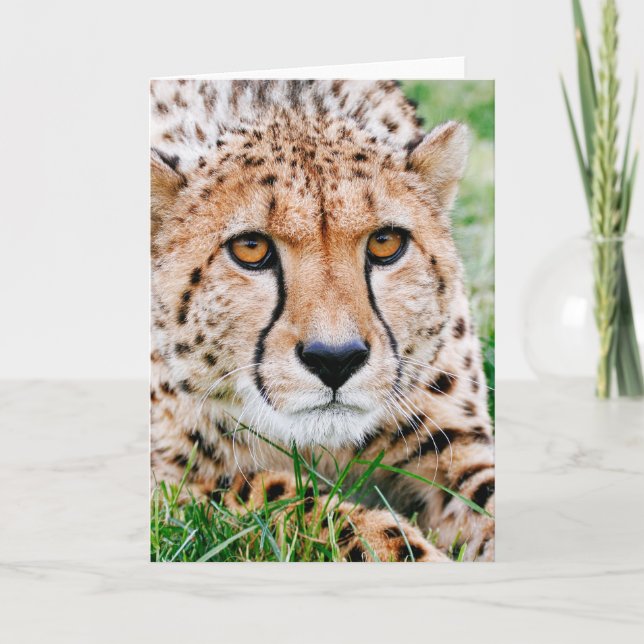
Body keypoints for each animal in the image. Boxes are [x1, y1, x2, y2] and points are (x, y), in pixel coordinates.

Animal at [150, 79, 494, 562]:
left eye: (386, 243)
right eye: (251, 248)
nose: (336, 359)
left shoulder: (456, 443)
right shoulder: (169, 484)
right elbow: (295, 503)